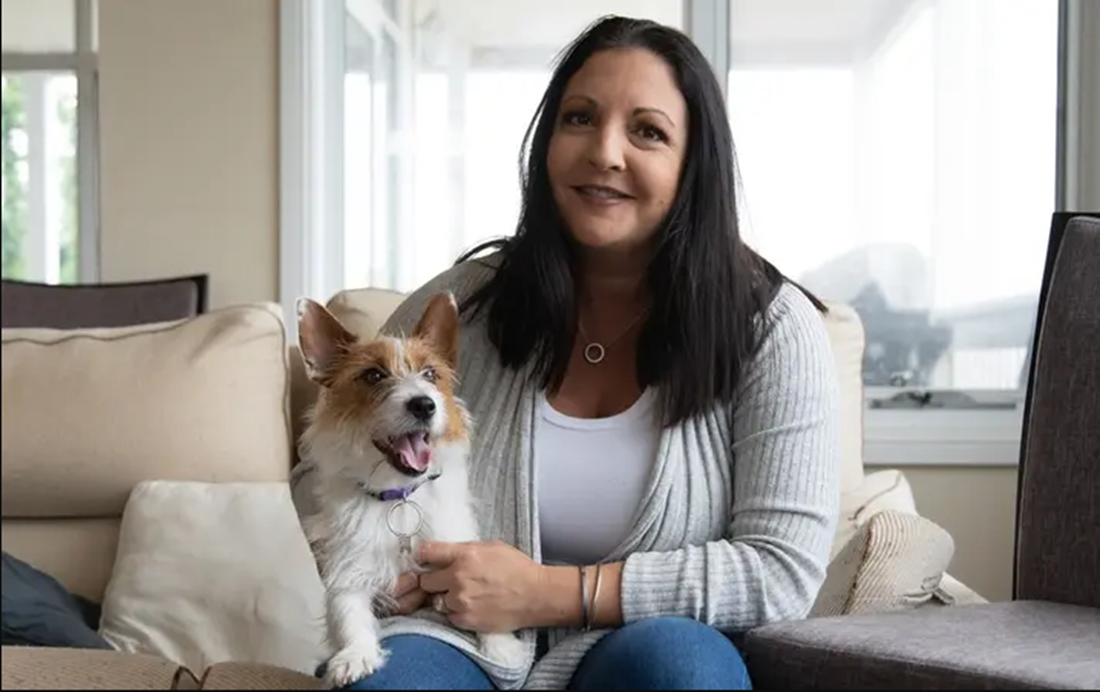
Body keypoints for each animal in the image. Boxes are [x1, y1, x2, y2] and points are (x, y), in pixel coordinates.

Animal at [297, 290, 528, 686]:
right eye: (373, 375)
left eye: (431, 374)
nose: (424, 404)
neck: (399, 498)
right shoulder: (348, 567)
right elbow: (347, 612)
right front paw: (356, 655)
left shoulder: (458, 550)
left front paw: (501, 647)